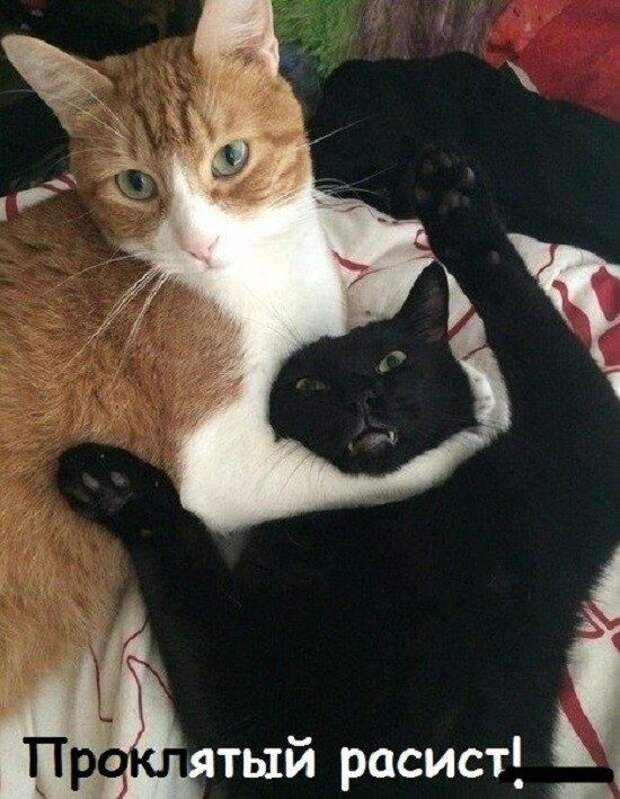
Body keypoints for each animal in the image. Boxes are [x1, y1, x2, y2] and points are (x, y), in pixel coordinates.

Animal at [0, 2, 492, 714]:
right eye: (136, 184)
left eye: (230, 157)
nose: (198, 244)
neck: (263, 274)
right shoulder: (223, 465)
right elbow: (363, 471)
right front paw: (462, 437)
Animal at [58, 145, 620, 796]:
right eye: (308, 386)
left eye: (393, 360)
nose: (360, 397)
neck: (382, 524)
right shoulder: (252, 710)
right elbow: (186, 569)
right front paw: (116, 485)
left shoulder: (577, 450)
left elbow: (517, 299)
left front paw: (450, 198)